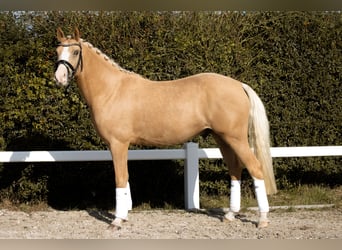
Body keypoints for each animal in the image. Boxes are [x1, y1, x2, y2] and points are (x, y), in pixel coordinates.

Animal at [54, 27, 278, 229]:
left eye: (75, 52)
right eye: (57, 51)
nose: (59, 78)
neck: (112, 90)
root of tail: (239, 85)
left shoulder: (118, 144)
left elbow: (120, 179)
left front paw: (117, 221)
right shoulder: (118, 145)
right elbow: (125, 179)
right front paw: (124, 216)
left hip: (236, 138)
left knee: (255, 168)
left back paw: (263, 219)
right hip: (222, 138)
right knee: (235, 169)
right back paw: (230, 215)